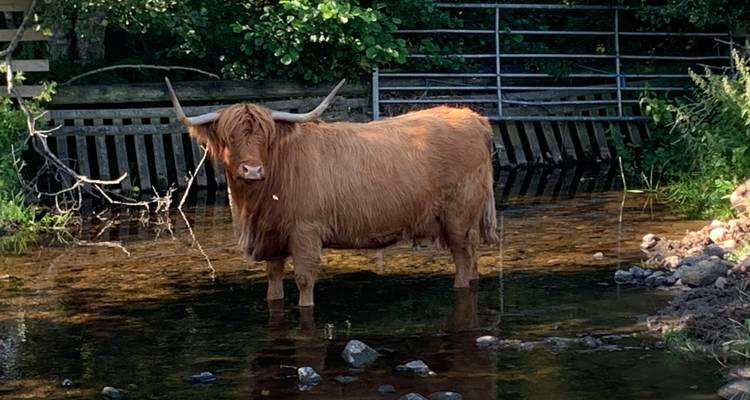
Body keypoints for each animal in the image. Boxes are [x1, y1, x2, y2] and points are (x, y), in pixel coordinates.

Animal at [165, 78, 498, 307]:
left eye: (266, 138)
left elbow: (304, 281)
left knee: (463, 262)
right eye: (229, 137)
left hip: (458, 218)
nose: (252, 170)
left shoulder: (305, 232)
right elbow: (273, 284)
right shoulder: (273, 238)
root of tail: (474, 118)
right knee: (473, 261)